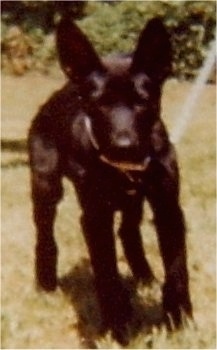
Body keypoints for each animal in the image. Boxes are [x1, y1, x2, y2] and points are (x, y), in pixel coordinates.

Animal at [28, 17, 192, 342]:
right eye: (99, 104)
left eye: (143, 102)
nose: (123, 147)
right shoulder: (95, 216)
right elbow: (107, 274)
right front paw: (119, 326)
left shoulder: (168, 207)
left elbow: (177, 269)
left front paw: (179, 318)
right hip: (46, 187)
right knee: (45, 236)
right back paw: (46, 283)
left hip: (133, 202)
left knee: (128, 232)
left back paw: (144, 276)